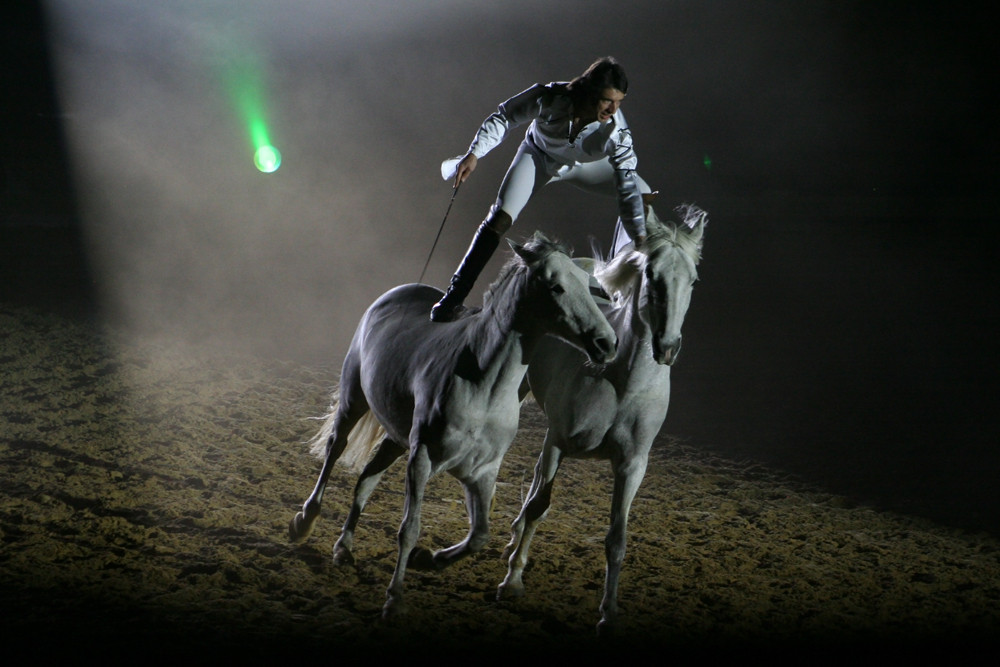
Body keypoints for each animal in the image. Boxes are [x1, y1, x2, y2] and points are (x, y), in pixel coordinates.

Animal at [288, 234, 616, 620]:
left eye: (589, 285)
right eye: (556, 286)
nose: (606, 343)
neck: (483, 384)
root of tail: (396, 293)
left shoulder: (481, 473)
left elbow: (479, 536)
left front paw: (427, 560)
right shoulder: (422, 460)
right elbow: (409, 529)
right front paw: (394, 598)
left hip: (397, 438)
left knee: (366, 480)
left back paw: (343, 547)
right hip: (354, 400)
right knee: (334, 450)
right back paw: (304, 522)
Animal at [496, 200, 708, 636]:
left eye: (693, 280)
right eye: (651, 274)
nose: (667, 347)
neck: (622, 384)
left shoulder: (632, 466)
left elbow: (616, 538)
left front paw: (608, 614)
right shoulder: (559, 441)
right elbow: (541, 506)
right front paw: (512, 580)